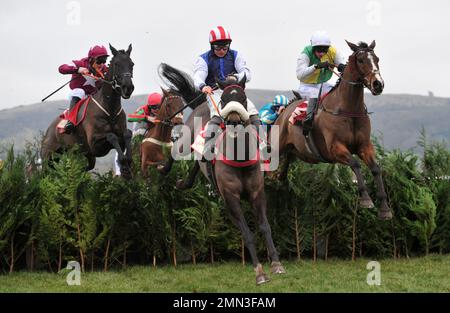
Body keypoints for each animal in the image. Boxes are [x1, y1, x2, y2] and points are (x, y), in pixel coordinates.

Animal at [40, 43, 134, 178]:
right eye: (117, 64)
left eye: (132, 64)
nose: (128, 88)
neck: (110, 109)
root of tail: (49, 129)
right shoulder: (95, 144)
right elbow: (111, 136)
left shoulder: (116, 140)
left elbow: (127, 134)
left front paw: (127, 165)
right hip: (48, 157)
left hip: (83, 155)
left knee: (85, 167)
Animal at [159, 64, 284, 286]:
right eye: (224, 99)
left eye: (243, 98)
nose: (233, 120)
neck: (240, 157)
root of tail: (201, 103)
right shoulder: (231, 198)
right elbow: (247, 232)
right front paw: (259, 272)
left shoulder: (257, 194)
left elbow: (265, 226)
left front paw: (276, 263)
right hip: (186, 139)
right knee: (175, 150)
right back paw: (164, 170)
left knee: (198, 162)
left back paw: (185, 183)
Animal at [272, 40, 392, 218]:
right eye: (361, 60)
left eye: (377, 59)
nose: (378, 84)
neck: (349, 110)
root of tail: (285, 110)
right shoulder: (335, 149)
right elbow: (355, 163)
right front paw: (365, 199)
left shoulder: (364, 146)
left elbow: (376, 169)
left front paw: (384, 208)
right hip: (276, 146)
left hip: (295, 152)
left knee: (282, 171)